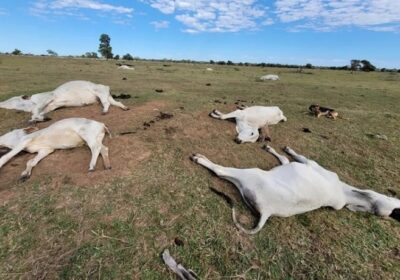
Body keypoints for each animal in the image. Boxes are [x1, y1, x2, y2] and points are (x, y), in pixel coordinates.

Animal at [0, 80, 128, 121]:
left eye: (14, 99)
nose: (1, 103)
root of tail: (106, 86)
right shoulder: (51, 106)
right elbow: (40, 113)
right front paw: (41, 118)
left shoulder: (48, 97)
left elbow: (36, 111)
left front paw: (34, 119)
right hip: (106, 96)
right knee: (117, 103)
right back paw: (125, 108)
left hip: (100, 93)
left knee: (106, 103)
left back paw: (104, 111)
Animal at [191, 147, 400, 234]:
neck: (344, 192)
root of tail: (267, 212)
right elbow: (284, 159)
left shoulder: (310, 163)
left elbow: (295, 156)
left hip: (250, 174)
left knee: (220, 171)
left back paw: (200, 158)